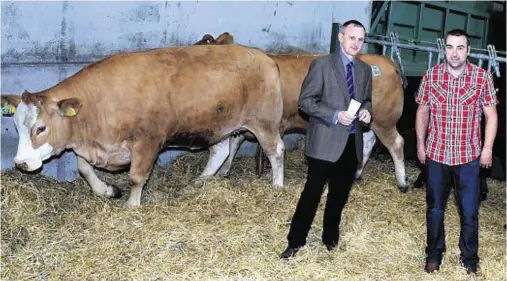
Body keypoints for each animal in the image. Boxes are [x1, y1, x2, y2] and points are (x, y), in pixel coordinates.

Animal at [0, 44, 286, 206]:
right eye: (16, 126)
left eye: (40, 128)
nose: (21, 163)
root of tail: (264, 57)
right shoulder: (96, 145)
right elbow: (83, 167)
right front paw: (107, 190)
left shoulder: (147, 141)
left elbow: (137, 176)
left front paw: (132, 205)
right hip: (218, 125)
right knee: (220, 150)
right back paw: (201, 180)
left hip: (264, 121)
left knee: (276, 151)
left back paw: (277, 185)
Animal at [194, 32, 408, 190]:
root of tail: (388, 62)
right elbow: (233, 145)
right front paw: (224, 171)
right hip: (369, 120)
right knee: (368, 142)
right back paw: (357, 173)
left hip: (385, 121)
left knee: (396, 144)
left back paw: (402, 182)